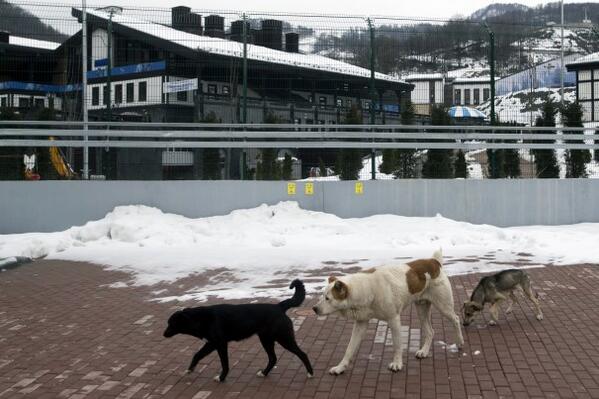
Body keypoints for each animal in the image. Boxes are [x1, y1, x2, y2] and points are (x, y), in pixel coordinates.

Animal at [164, 280, 314, 382]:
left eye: (171, 324)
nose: (163, 334)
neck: (201, 318)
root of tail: (279, 306)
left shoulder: (220, 344)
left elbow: (225, 363)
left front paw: (221, 378)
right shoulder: (211, 344)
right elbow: (197, 355)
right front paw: (190, 369)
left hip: (283, 338)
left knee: (302, 354)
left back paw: (310, 373)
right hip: (266, 339)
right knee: (273, 358)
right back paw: (264, 373)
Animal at [314, 250, 464, 376]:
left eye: (328, 298)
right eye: (322, 296)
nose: (314, 308)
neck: (366, 288)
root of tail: (433, 261)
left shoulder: (394, 320)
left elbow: (397, 345)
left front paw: (397, 364)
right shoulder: (360, 324)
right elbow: (349, 349)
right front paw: (340, 367)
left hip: (443, 306)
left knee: (456, 319)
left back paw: (460, 342)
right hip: (421, 309)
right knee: (430, 331)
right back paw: (424, 352)